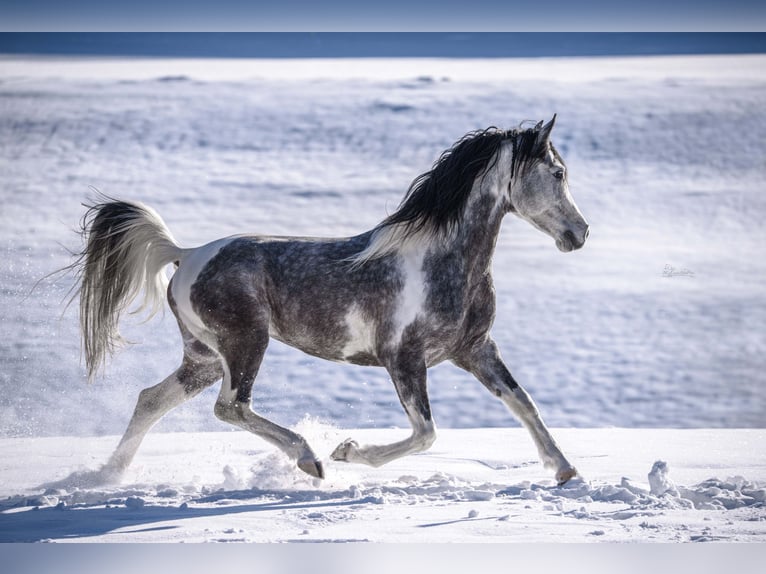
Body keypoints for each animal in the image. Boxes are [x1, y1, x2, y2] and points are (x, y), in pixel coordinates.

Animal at [72, 115, 589, 486]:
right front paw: (347, 451)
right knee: (231, 406)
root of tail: (185, 254)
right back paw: (310, 459)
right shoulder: (403, 358)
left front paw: (565, 471)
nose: (580, 233)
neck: (442, 262)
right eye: (558, 172)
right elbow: (426, 433)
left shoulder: (476, 349)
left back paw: (109, 475)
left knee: (151, 399)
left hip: (203, 357)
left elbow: (523, 403)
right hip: (244, 342)